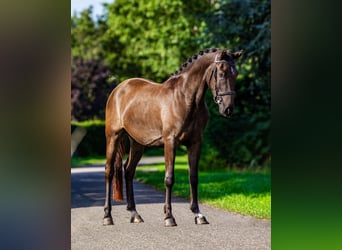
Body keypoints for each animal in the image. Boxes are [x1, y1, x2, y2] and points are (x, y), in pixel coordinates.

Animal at [103, 47, 242, 227]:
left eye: (236, 74)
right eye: (222, 73)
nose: (228, 109)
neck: (186, 98)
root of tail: (118, 90)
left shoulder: (195, 143)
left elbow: (193, 177)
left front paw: (198, 214)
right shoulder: (170, 142)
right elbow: (169, 178)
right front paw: (169, 216)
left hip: (138, 144)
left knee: (128, 171)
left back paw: (135, 213)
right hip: (112, 137)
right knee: (109, 171)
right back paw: (107, 216)